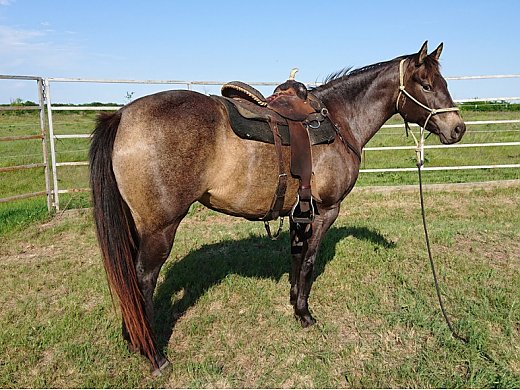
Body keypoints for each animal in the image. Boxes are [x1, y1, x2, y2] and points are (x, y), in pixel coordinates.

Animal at [89, 41, 468, 374]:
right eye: (426, 84)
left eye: (444, 83)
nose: (458, 128)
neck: (341, 121)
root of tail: (121, 116)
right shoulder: (326, 211)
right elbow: (310, 261)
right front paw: (305, 314)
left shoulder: (300, 211)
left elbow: (296, 256)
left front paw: (293, 302)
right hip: (160, 229)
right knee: (142, 278)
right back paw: (154, 356)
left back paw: (134, 338)